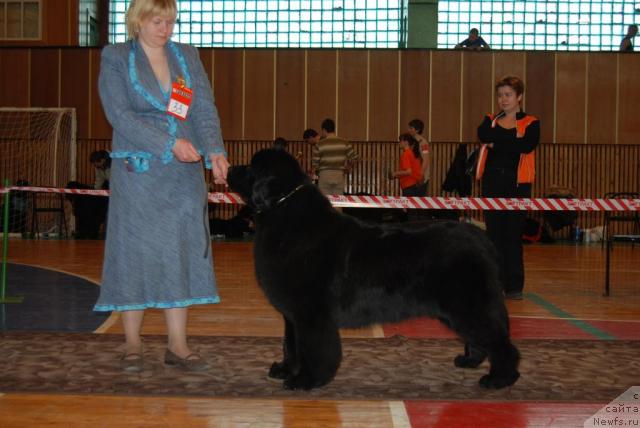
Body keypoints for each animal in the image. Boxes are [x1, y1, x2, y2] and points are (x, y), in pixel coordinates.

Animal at [228, 149, 516, 390]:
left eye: (251, 167)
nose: (229, 168)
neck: (283, 209)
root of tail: (481, 238)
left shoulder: (311, 313)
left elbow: (314, 348)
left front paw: (307, 380)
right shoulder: (293, 314)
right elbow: (291, 344)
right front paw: (285, 370)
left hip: (468, 304)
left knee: (499, 341)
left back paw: (499, 379)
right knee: (481, 337)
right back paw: (470, 361)